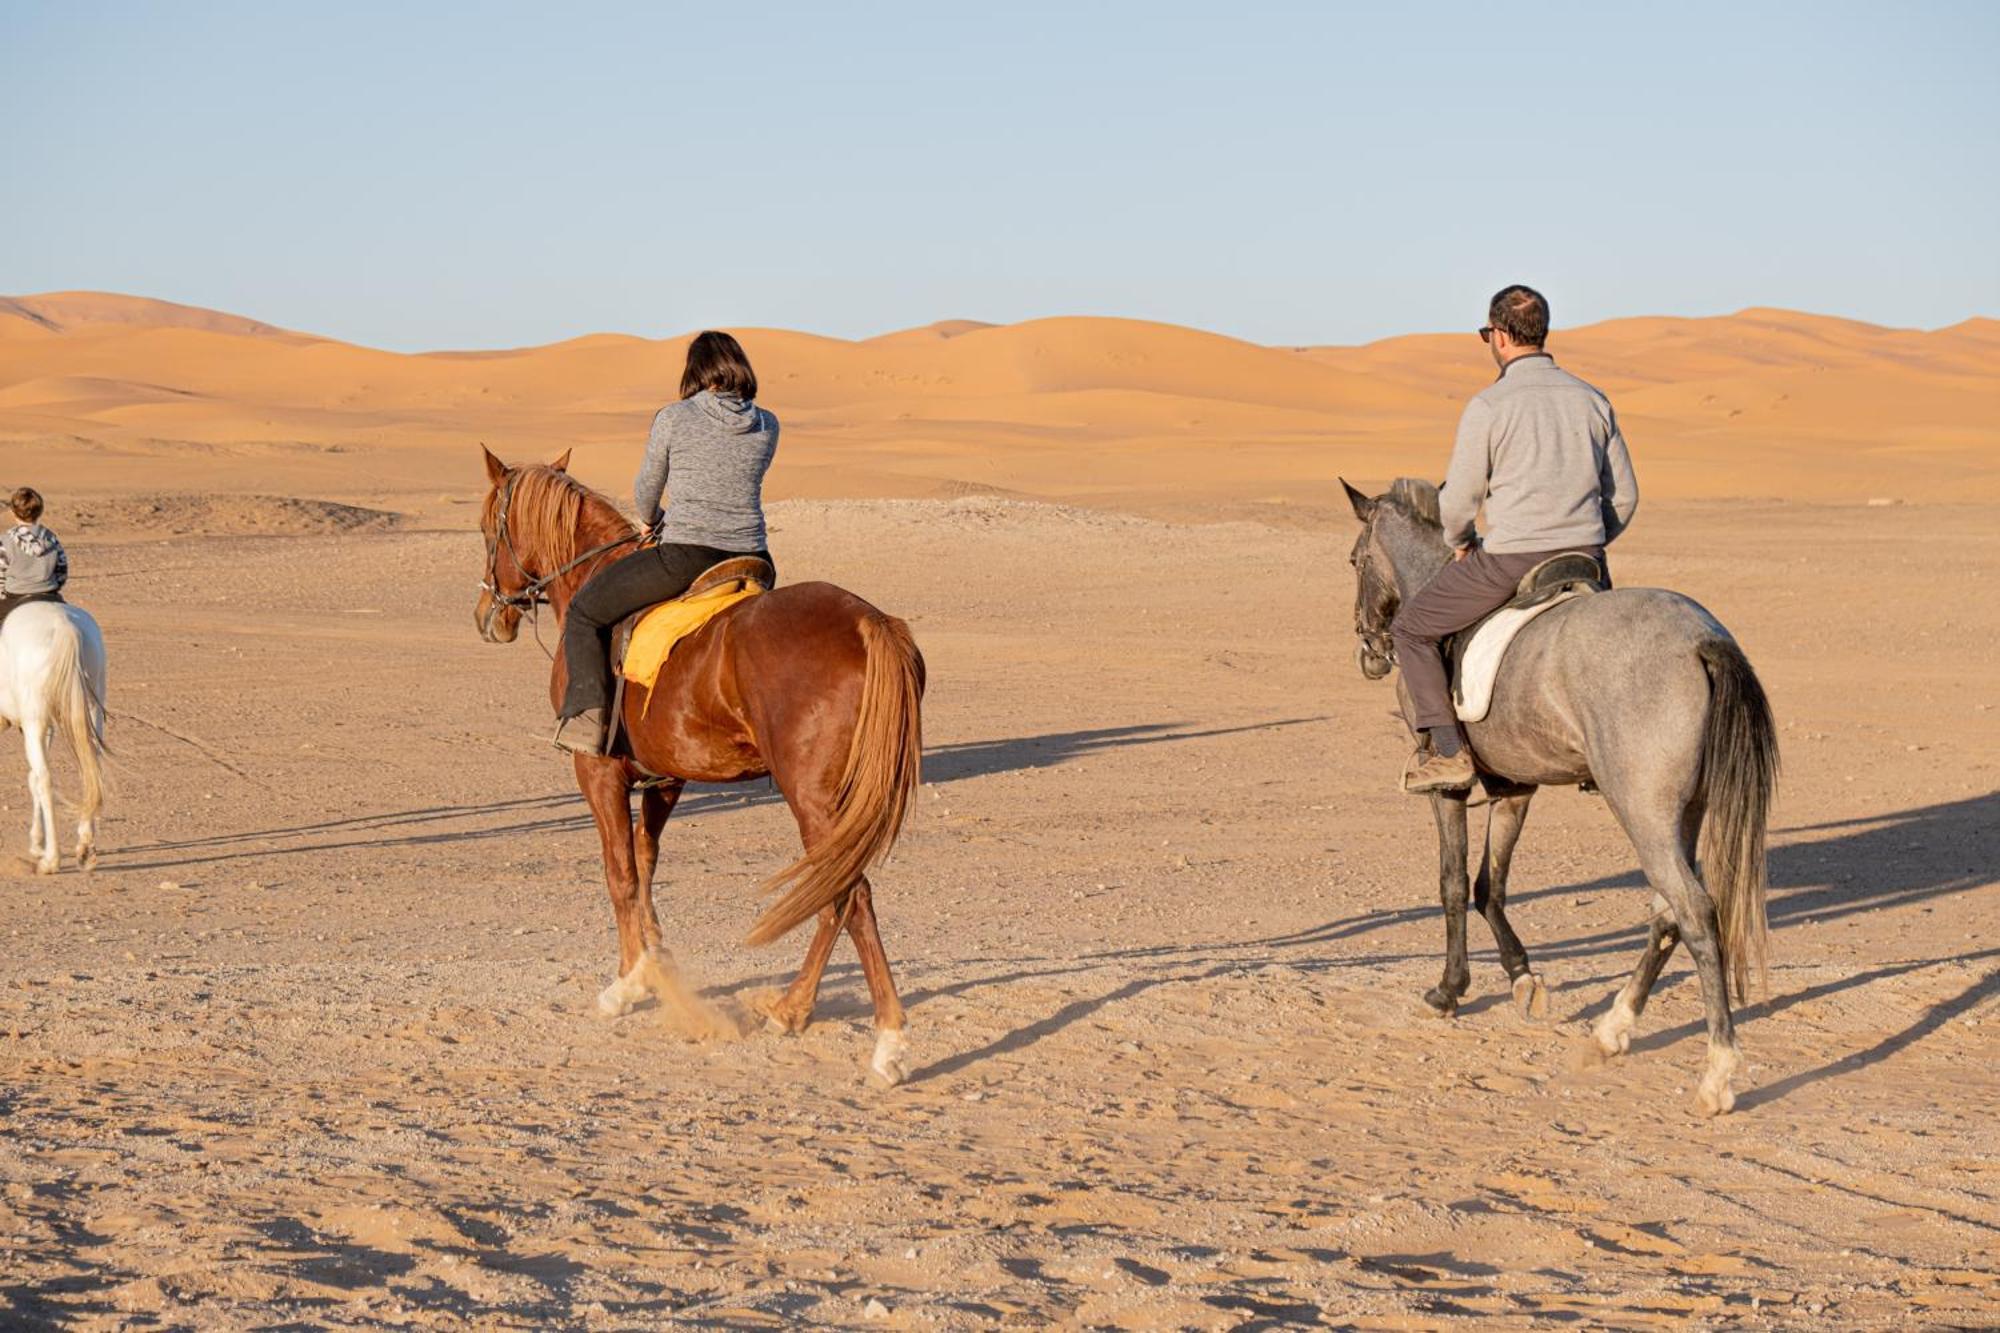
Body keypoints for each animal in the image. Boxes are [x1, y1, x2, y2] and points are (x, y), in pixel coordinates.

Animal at [0, 600, 108, 872]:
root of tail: (65, 627)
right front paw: (36, 842)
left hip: (34, 721)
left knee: (46, 780)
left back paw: (51, 860)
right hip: (90, 710)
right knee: (89, 770)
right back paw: (84, 847)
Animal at [472, 446, 924, 1080]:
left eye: (488, 529)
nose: (489, 615)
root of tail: (869, 623)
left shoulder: (597, 772)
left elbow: (619, 872)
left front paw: (626, 985)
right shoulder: (669, 777)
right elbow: (645, 862)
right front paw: (652, 964)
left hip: (813, 797)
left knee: (849, 894)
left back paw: (888, 1041)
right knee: (834, 893)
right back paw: (791, 1009)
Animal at [1344, 478, 1784, 1112]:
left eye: (1355, 561)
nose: (1370, 654)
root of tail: (1702, 640)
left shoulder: (1448, 790)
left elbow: (1453, 884)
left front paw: (1450, 991)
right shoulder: (1515, 788)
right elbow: (1490, 885)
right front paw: (1522, 978)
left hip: (1643, 812)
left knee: (1695, 911)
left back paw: (1716, 1073)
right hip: (1684, 813)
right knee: (1666, 913)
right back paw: (1611, 1031)